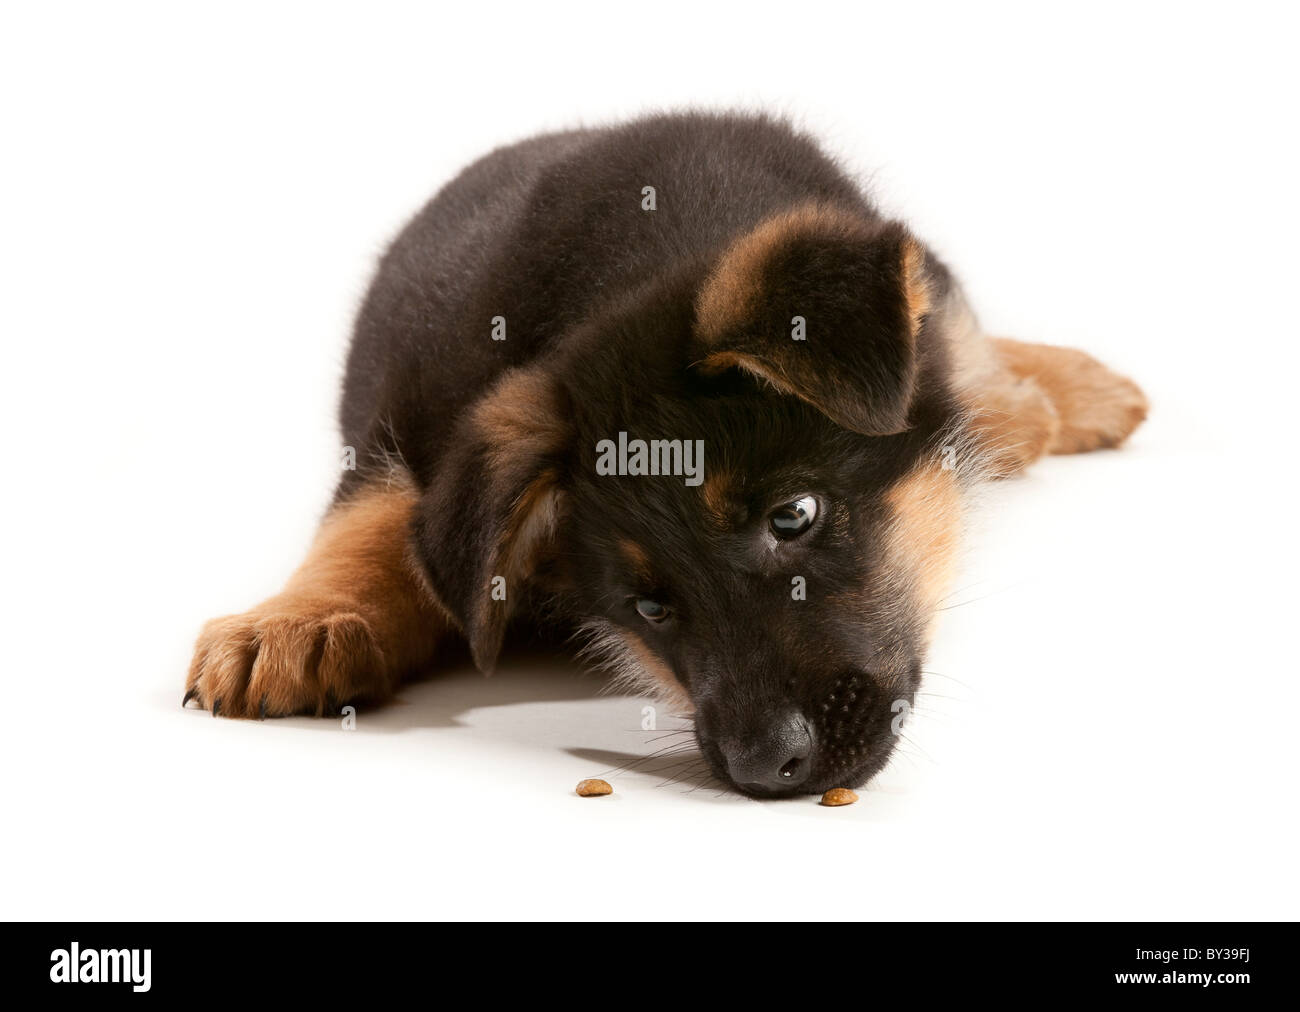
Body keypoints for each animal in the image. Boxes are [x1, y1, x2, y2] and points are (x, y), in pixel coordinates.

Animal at [185, 108, 1149, 790]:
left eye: (794, 517)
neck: (648, 247)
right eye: (647, 606)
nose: (765, 770)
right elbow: (378, 516)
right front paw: (300, 619)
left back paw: (1055, 397)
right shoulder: (411, 411)